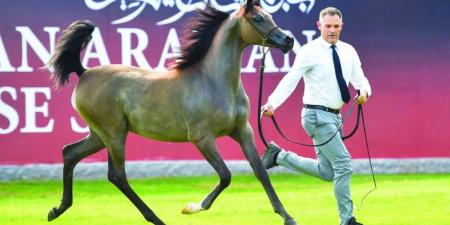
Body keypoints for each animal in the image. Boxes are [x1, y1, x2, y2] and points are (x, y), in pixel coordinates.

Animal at [46, 0, 296, 224]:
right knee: (117, 175)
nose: (288, 40)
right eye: (258, 18)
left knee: (71, 153)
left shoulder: (243, 131)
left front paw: (287, 217)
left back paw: (58, 209)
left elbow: (260, 171)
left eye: (270, 15)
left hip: (100, 135)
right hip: (114, 134)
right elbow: (226, 176)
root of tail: (84, 72)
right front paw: (192, 207)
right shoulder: (202, 138)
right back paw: (155, 218)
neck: (213, 81)